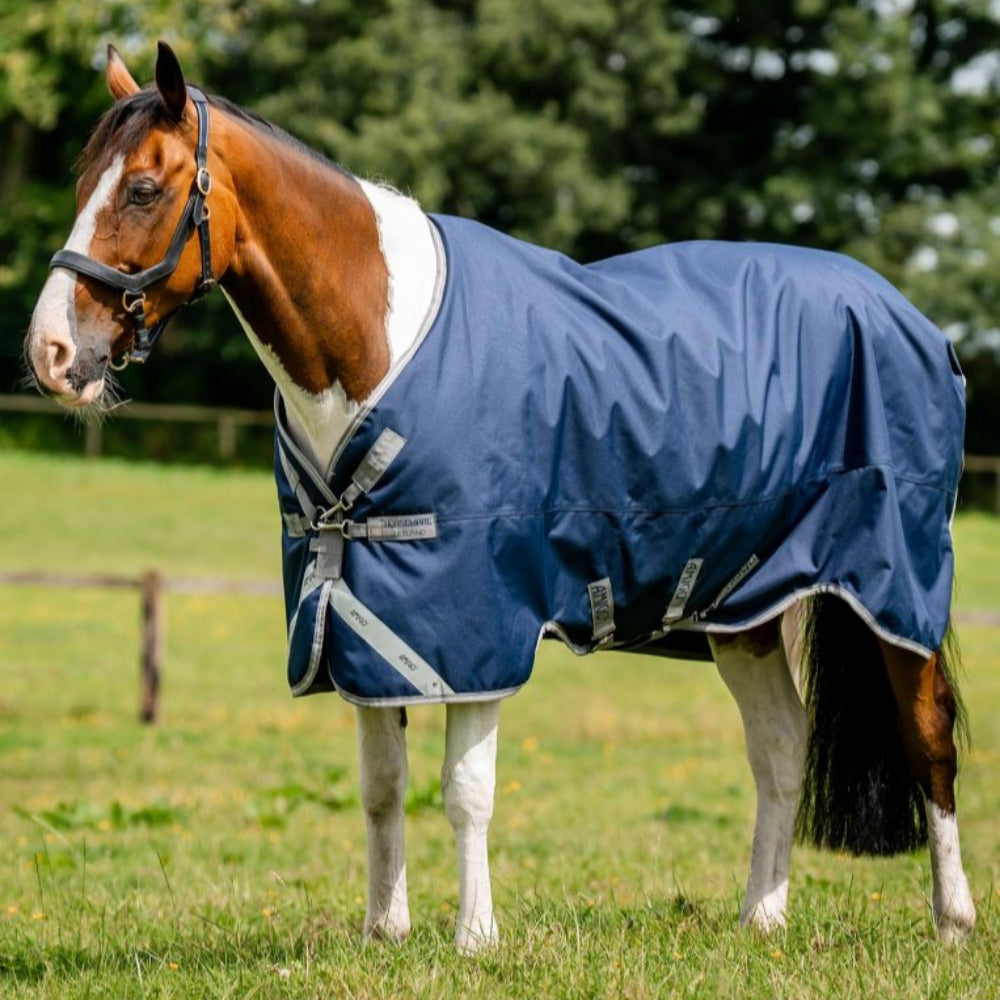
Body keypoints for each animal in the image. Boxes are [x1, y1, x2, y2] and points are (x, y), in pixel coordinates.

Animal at [24, 42, 975, 950]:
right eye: (79, 183)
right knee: (780, 749)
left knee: (927, 737)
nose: (51, 354)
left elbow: (465, 789)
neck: (376, 339)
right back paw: (761, 919)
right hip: (743, 606)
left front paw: (475, 937)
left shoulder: (474, 623)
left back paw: (952, 921)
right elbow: (382, 786)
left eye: (143, 188)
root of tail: (910, 317)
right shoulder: (364, 621)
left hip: (893, 588)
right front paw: (384, 930)